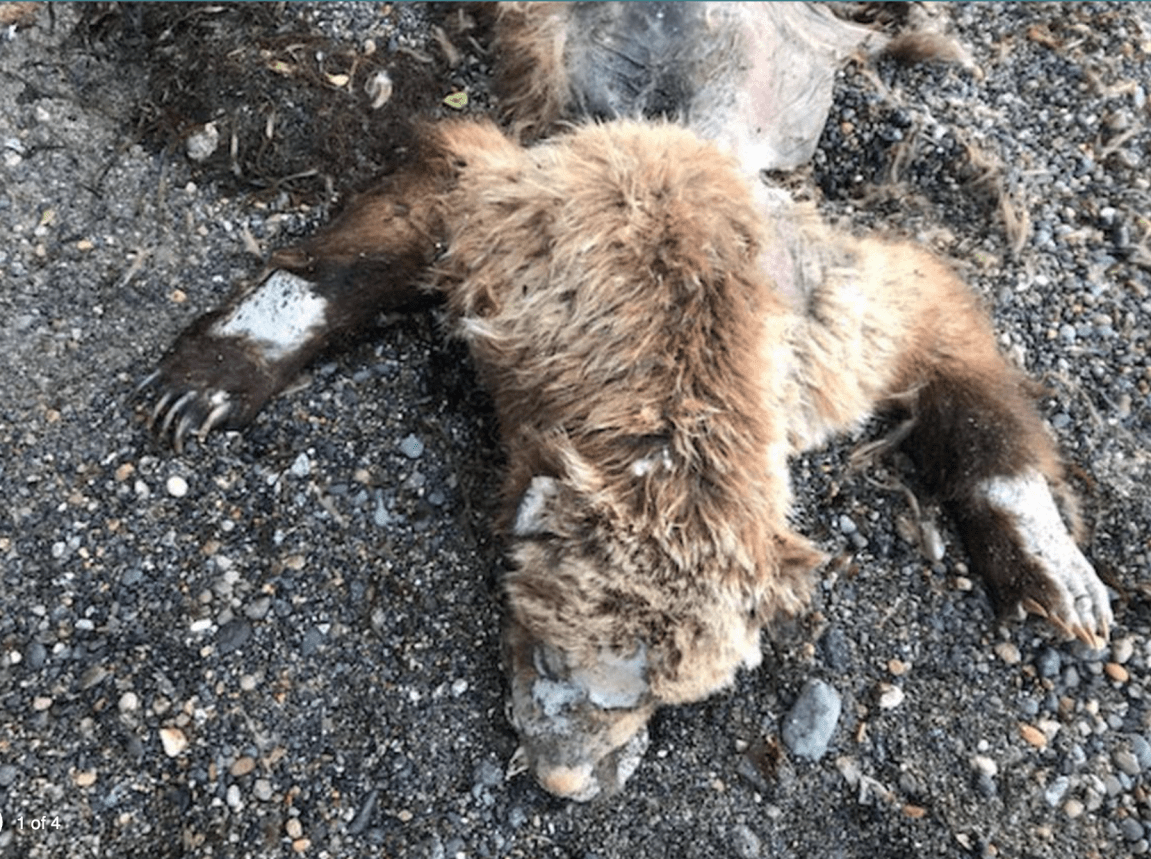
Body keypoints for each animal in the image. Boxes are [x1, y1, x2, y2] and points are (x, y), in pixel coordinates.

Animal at [137, 3, 1113, 801]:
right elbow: (403, 216)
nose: (564, 781)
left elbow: (940, 325)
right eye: (542, 645)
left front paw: (1046, 552)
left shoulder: (818, 335)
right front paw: (222, 366)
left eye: (665, 697)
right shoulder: (517, 219)